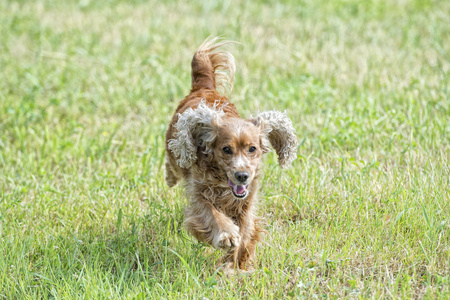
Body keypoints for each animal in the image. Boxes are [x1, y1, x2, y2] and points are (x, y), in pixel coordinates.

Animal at [163, 37, 298, 272]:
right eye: (226, 149)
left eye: (252, 149)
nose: (242, 176)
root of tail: (204, 87)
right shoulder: (200, 194)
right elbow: (212, 214)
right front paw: (226, 236)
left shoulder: (246, 204)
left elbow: (245, 233)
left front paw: (234, 265)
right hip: (175, 152)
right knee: (173, 164)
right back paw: (170, 177)